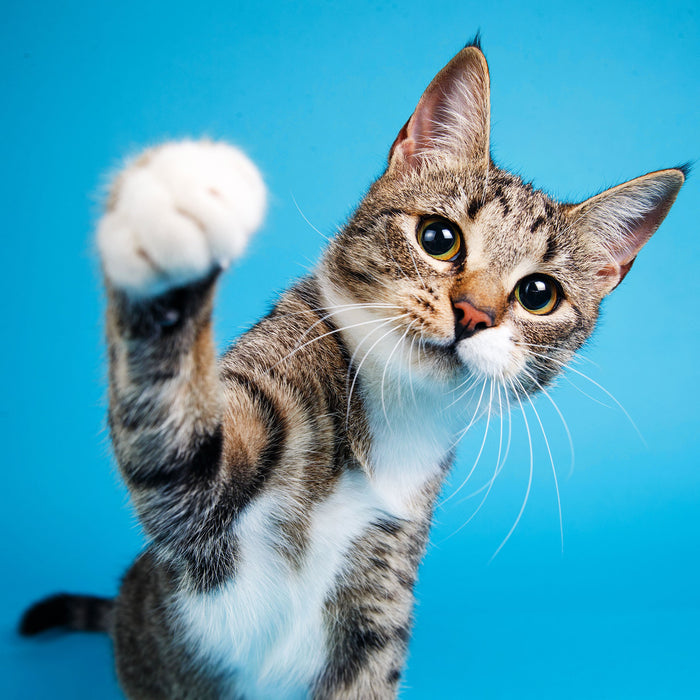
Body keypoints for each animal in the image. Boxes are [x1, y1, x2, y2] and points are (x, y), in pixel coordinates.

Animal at [19, 41, 688, 700]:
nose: (474, 313)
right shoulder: (210, 493)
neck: (393, 414)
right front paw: (170, 224)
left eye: (539, 294)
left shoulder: (379, 599)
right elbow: (180, 448)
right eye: (439, 238)